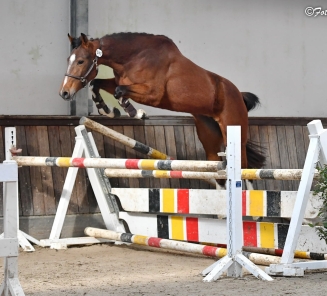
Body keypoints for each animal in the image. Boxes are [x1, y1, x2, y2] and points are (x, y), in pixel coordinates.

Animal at [59, 32, 266, 188]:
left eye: (81, 61)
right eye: (69, 59)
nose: (64, 93)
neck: (134, 57)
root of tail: (237, 93)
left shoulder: (153, 94)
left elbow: (119, 92)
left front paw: (135, 113)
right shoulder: (120, 80)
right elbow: (97, 83)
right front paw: (107, 111)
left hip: (234, 130)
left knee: (245, 168)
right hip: (209, 135)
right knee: (218, 170)